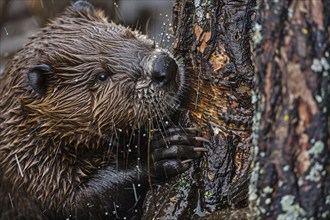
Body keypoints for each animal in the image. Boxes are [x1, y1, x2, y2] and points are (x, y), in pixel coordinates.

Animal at [0, 0, 206, 219]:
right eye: (102, 76)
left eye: (129, 34)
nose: (164, 67)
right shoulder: (31, 172)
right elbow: (79, 202)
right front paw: (165, 149)